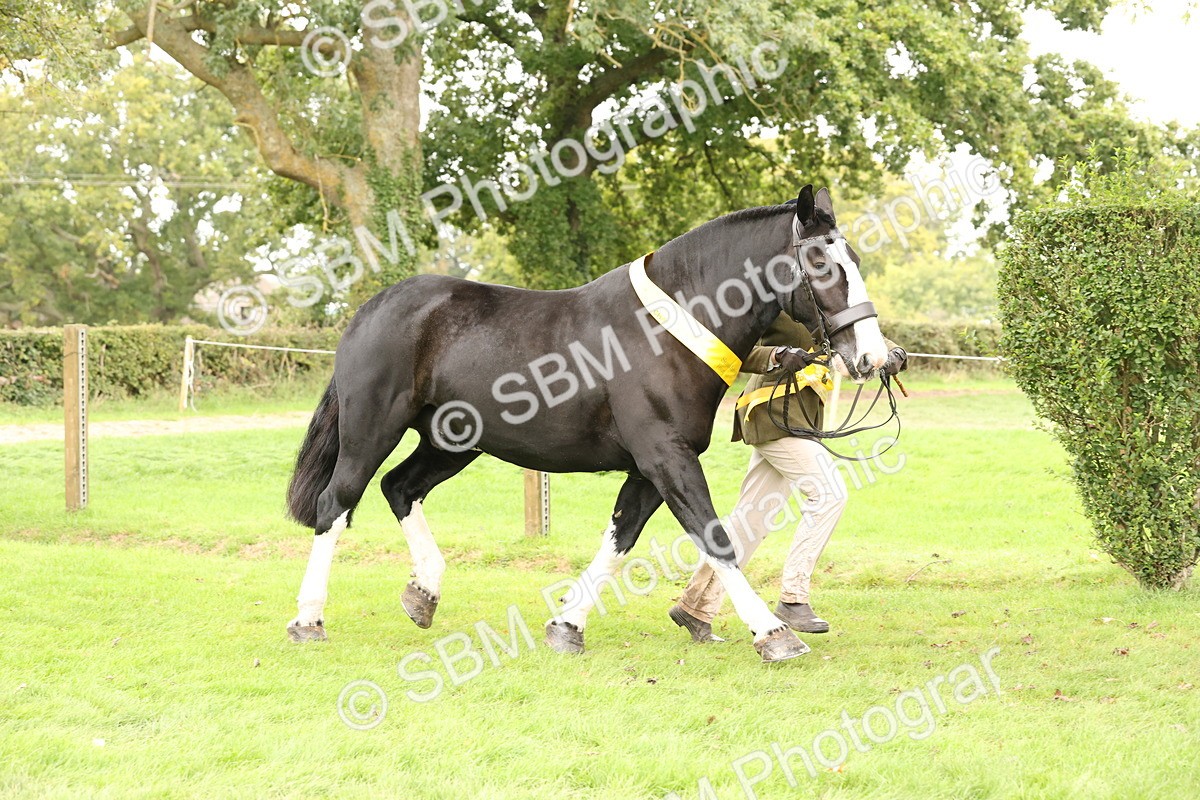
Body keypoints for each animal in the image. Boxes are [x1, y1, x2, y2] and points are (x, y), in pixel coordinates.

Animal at [284, 184, 888, 662]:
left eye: (855, 258)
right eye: (822, 263)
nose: (875, 356)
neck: (668, 333)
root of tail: (370, 309)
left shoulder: (650, 469)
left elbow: (620, 538)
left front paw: (566, 626)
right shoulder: (666, 457)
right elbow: (714, 538)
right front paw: (773, 633)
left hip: (452, 442)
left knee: (400, 488)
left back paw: (423, 593)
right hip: (371, 432)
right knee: (336, 504)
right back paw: (310, 620)